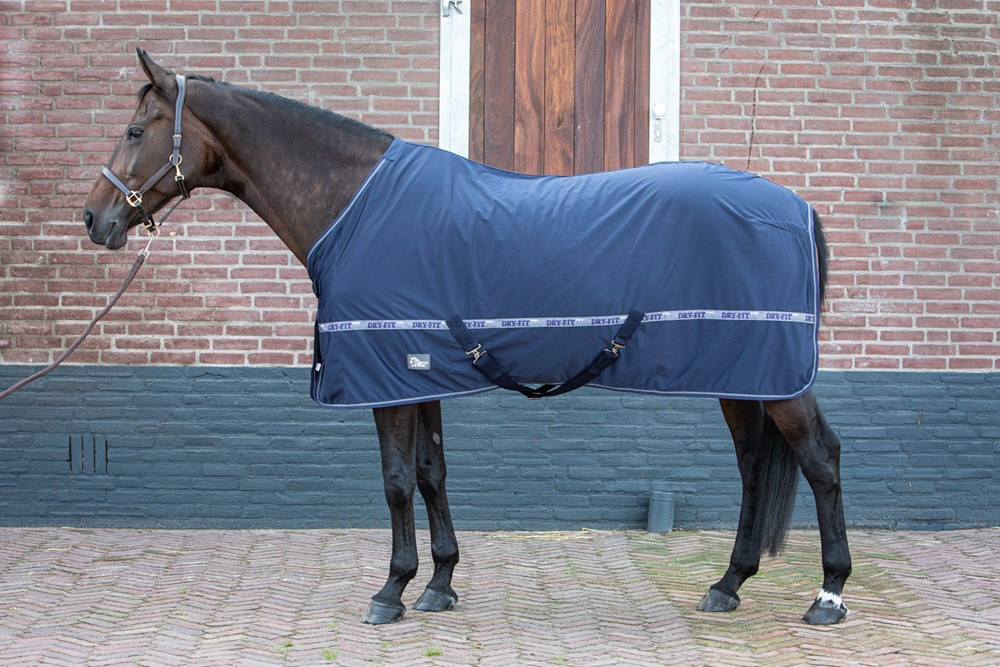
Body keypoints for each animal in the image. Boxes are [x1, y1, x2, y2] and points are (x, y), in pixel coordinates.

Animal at [83, 51, 851, 626]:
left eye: (135, 130)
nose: (94, 219)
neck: (355, 205)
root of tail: (795, 205)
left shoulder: (387, 378)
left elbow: (396, 482)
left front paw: (391, 591)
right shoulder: (418, 370)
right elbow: (431, 473)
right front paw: (440, 583)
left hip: (776, 380)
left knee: (820, 459)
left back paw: (829, 594)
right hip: (743, 378)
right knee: (753, 467)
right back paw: (728, 584)